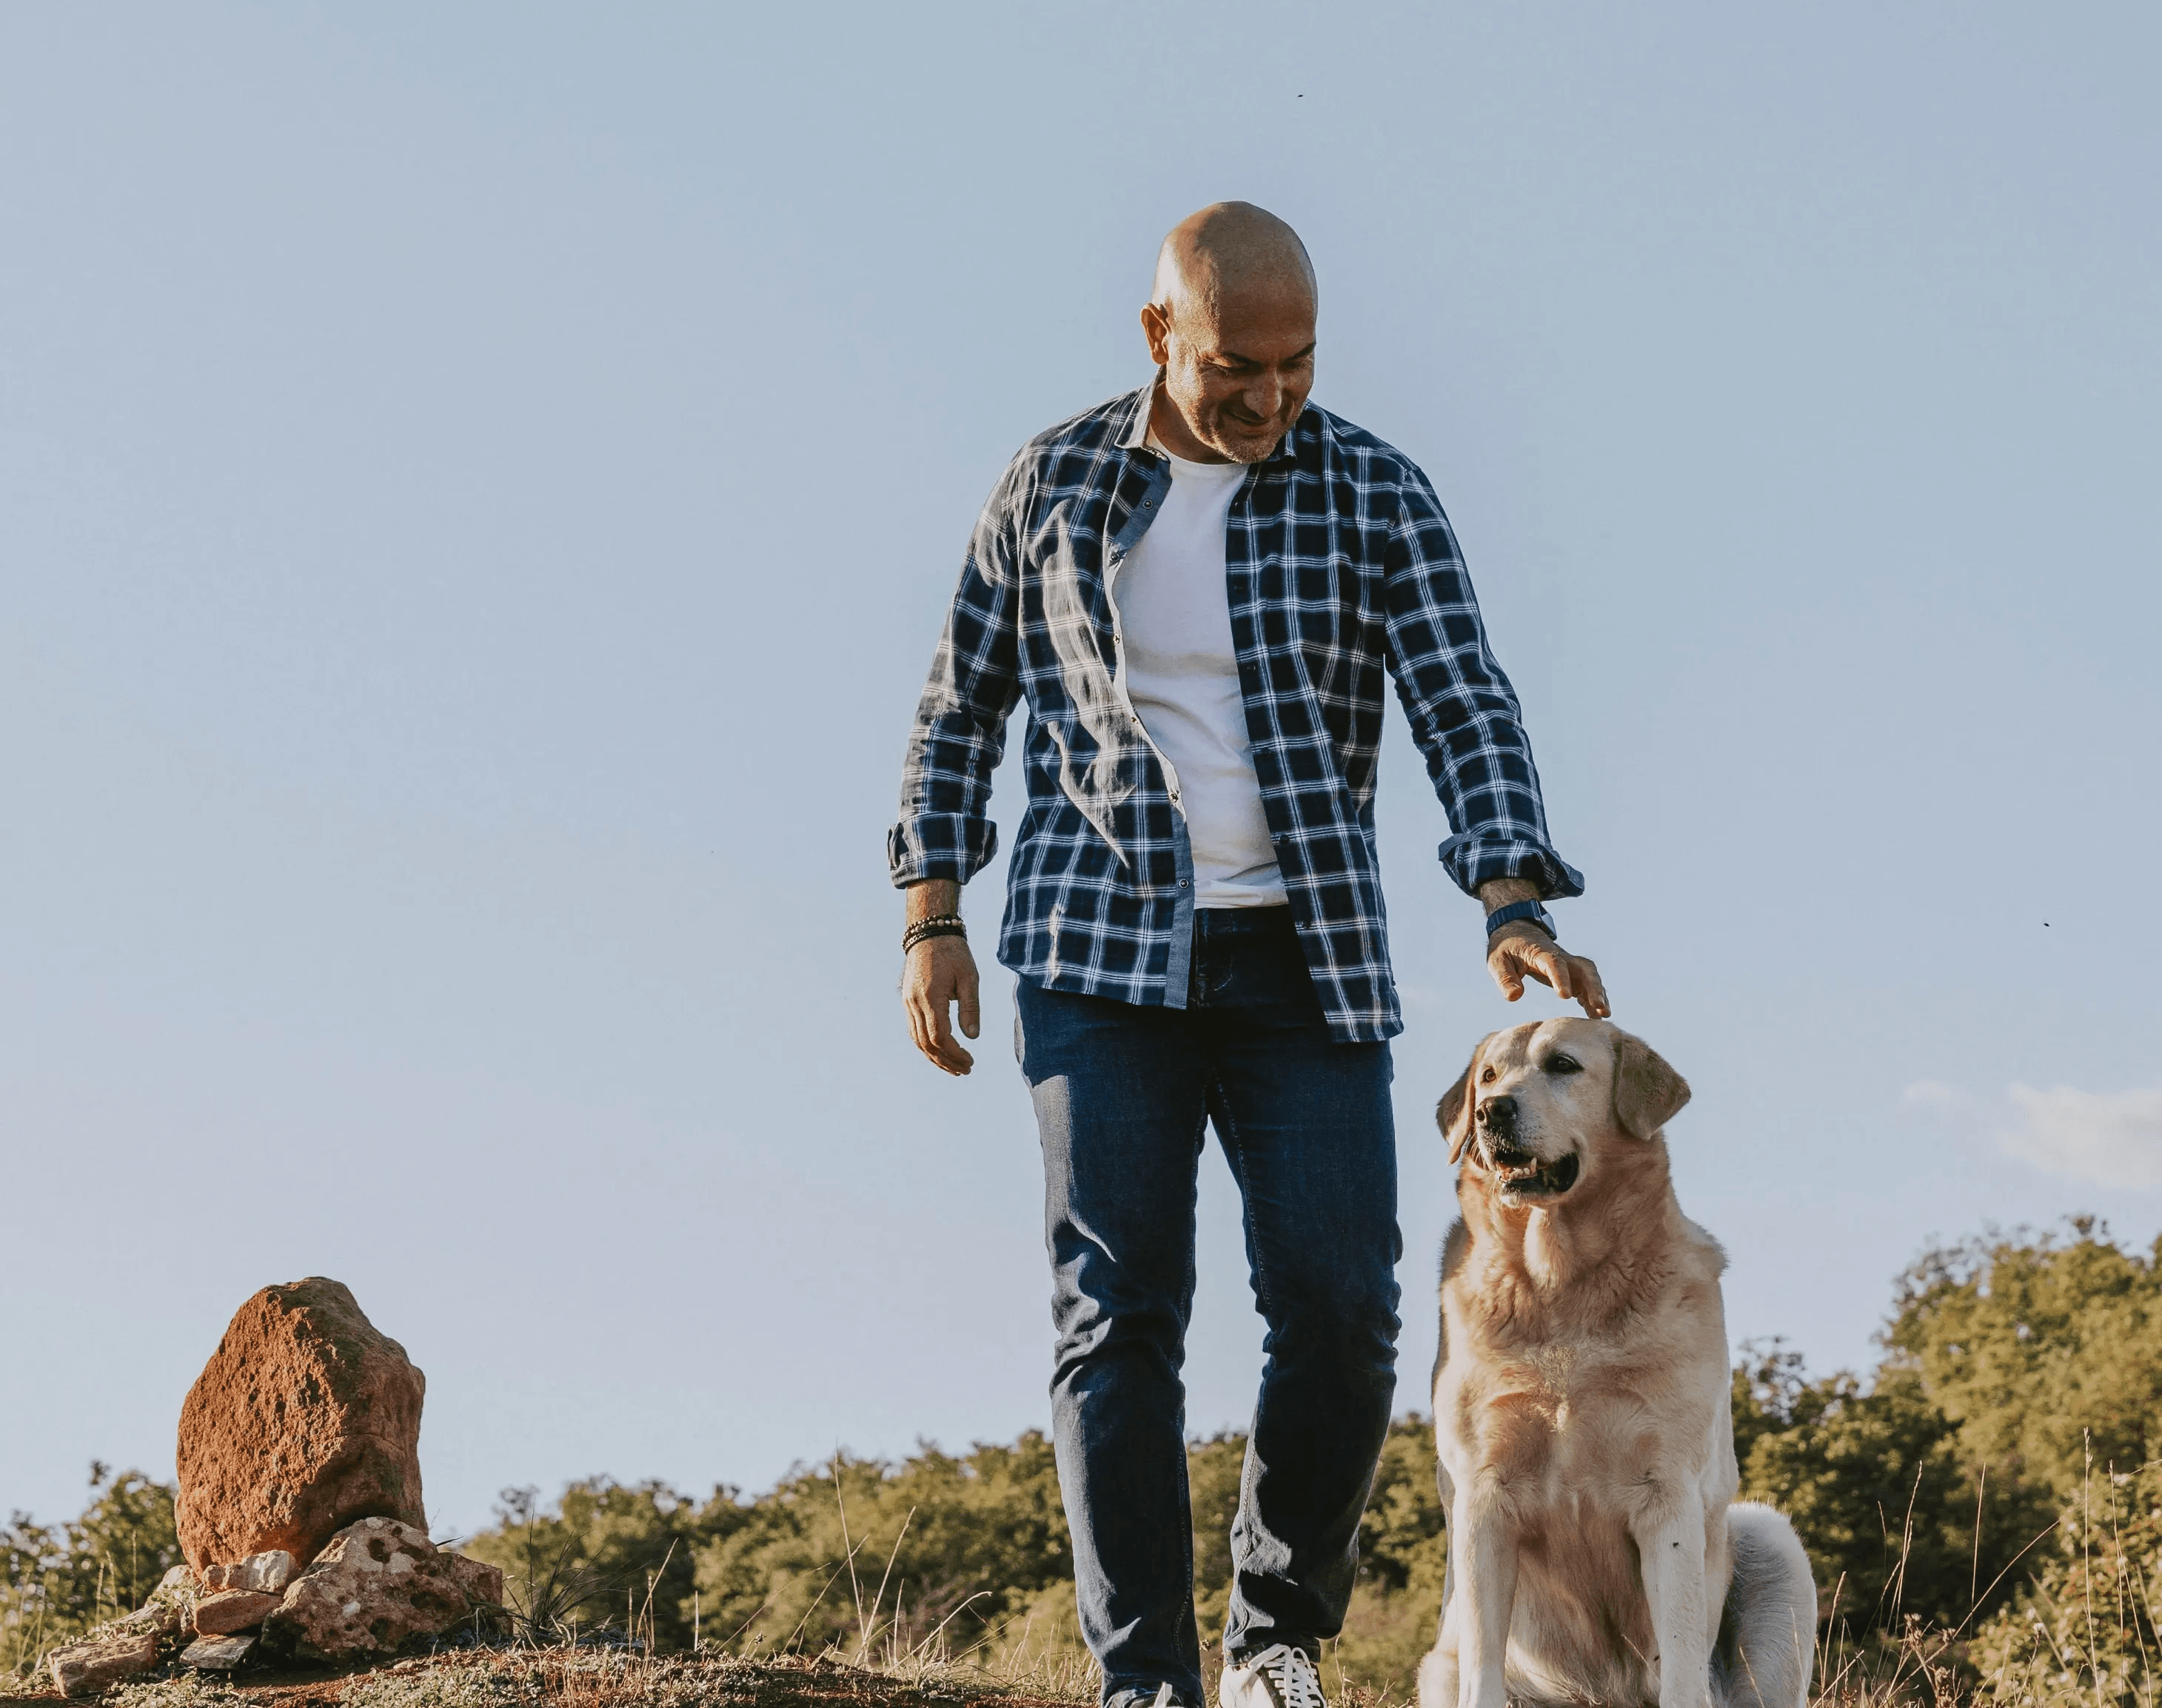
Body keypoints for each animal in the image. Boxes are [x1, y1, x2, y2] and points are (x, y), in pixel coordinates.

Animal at [1409, 1025, 1815, 1704]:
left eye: (1562, 1065)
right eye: (1488, 1075)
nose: (1492, 1111)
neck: (1561, 1280)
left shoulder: (1668, 1494)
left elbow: (1680, 1660)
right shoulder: (1482, 1496)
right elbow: (1483, 1664)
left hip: (1770, 1540)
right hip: (1440, 1665)